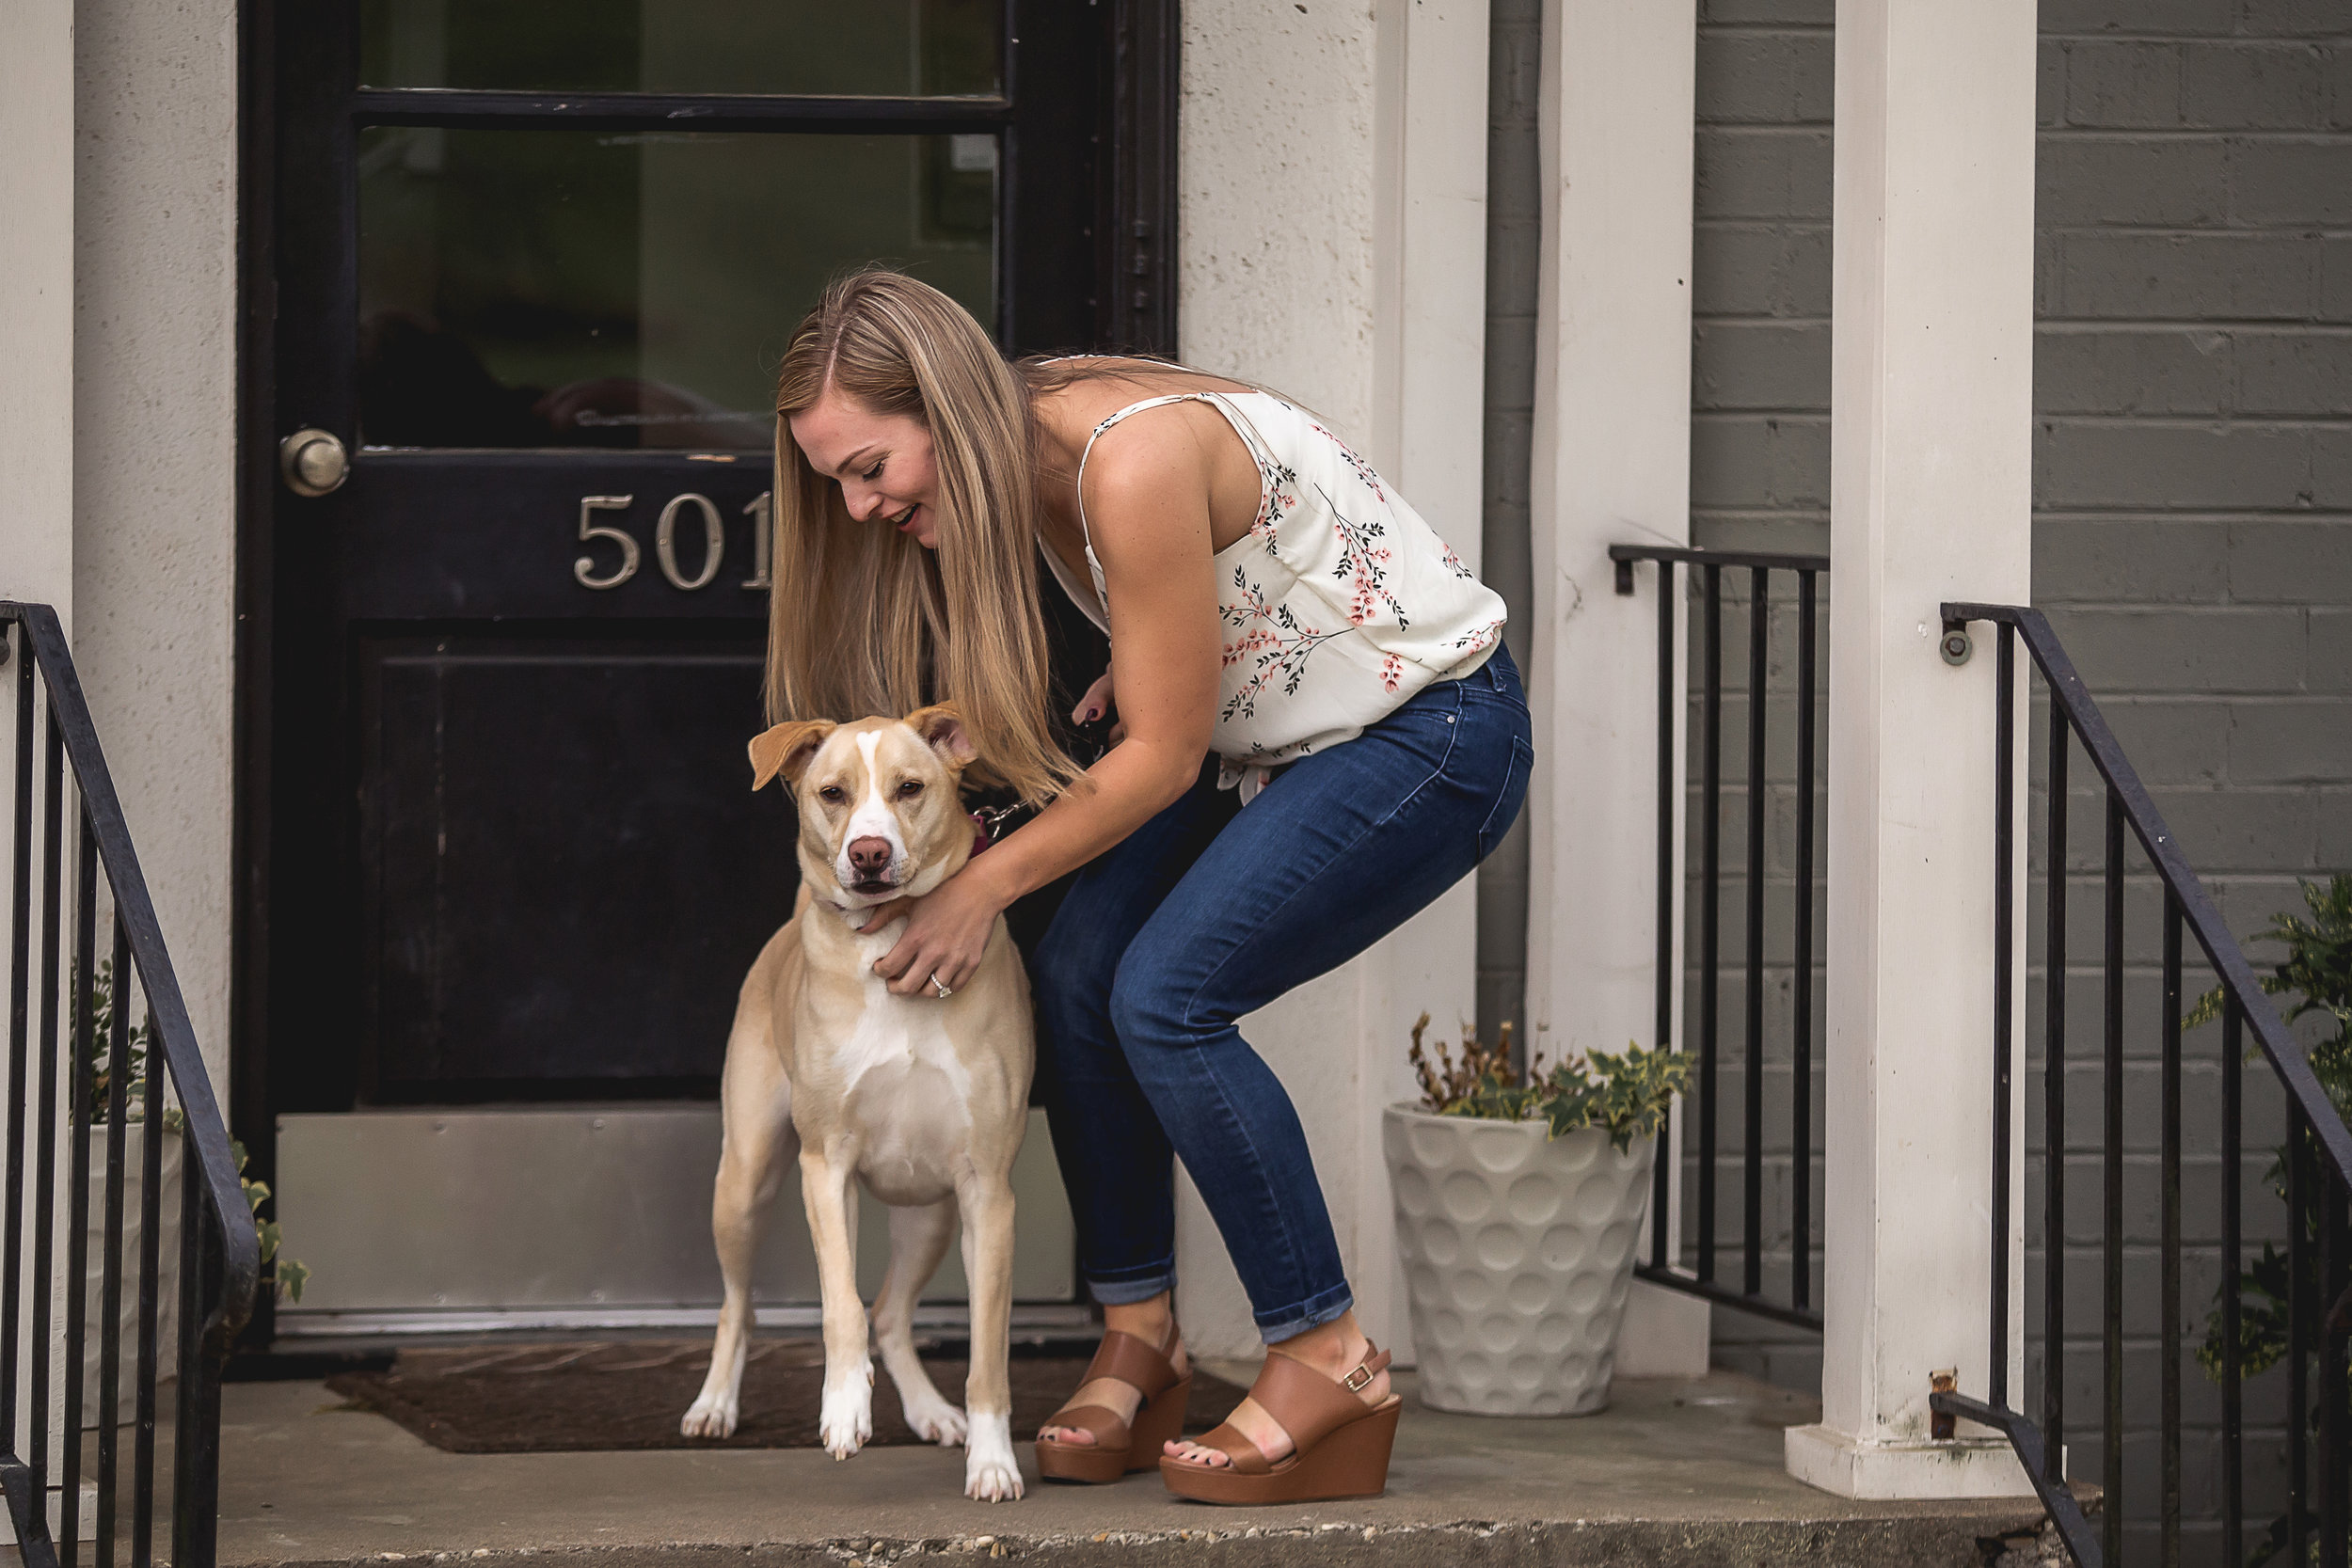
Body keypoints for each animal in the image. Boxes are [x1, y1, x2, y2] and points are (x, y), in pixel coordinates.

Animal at [687, 705, 1040, 1504]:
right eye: (833, 793)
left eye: (910, 787)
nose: (869, 852)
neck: (892, 941)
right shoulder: (826, 1168)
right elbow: (838, 1304)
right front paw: (846, 1404)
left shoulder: (990, 1193)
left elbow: (988, 1347)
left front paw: (992, 1458)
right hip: (743, 1183)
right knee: (740, 1305)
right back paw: (715, 1401)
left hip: (931, 1213)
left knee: (891, 1312)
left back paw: (932, 1411)